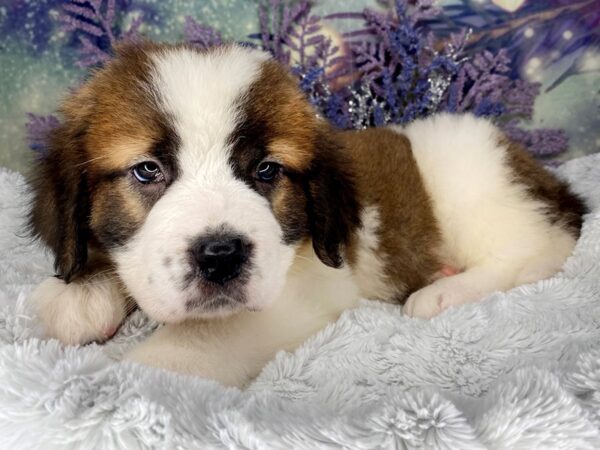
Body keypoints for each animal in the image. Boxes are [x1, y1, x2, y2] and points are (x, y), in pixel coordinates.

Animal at [28, 41, 584, 386]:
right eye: (147, 171)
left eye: (267, 170)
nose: (221, 256)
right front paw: (83, 293)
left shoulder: (310, 286)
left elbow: (210, 333)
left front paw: (139, 377)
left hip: (466, 176)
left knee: (539, 246)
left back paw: (446, 292)